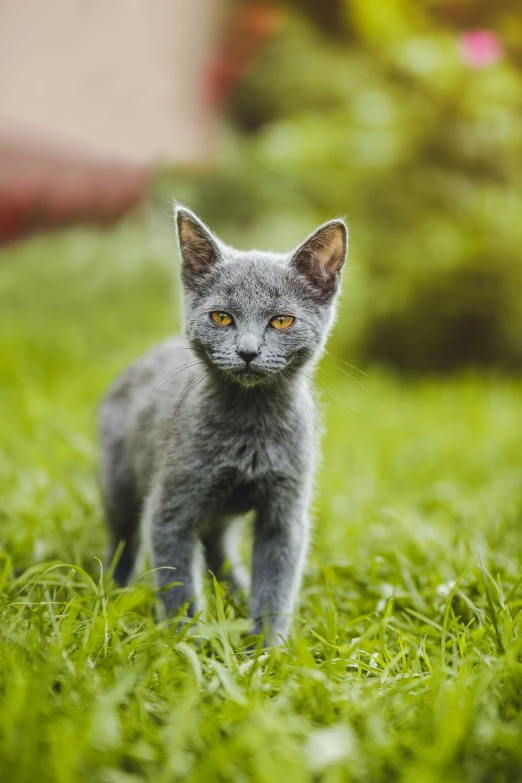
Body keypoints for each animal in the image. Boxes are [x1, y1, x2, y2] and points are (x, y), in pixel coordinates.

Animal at [99, 205, 348, 648]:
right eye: (221, 317)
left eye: (281, 322)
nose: (248, 351)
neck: (250, 426)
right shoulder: (171, 509)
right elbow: (178, 583)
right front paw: (185, 642)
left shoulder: (284, 514)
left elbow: (276, 583)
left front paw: (268, 647)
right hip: (119, 487)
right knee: (124, 538)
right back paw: (116, 590)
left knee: (216, 545)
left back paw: (236, 591)